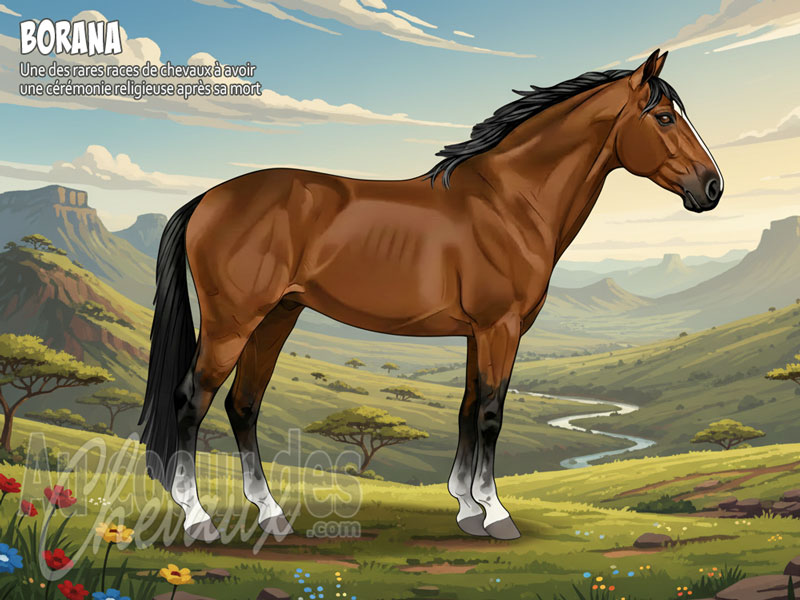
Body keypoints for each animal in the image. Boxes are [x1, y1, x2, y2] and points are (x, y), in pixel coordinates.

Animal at [140, 49, 723, 542]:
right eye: (664, 117)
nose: (712, 187)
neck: (509, 202)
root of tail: (207, 198)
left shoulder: (477, 333)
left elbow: (467, 408)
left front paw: (466, 509)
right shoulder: (500, 327)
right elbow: (491, 413)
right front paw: (497, 515)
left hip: (276, 318)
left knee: (244, 404)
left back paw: (272, 515)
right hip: (232, 323)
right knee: (192, 400)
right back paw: (197, 521)